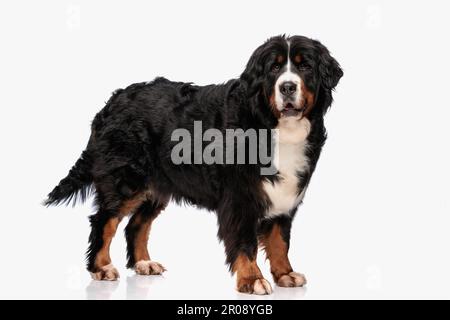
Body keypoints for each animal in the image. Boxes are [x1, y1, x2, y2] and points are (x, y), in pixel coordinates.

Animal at [44, 35, 342, 296]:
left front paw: (285, 274)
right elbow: (245, 244)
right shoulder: (240, 198)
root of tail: (113, 101)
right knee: (104, 221)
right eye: (274, 68)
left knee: (136, 226)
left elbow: (280, 241)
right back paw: (102, 267)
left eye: (305, 66)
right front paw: (252, 280)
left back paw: (144, 263)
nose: (287, 87)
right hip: (127, 181)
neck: (272, 126)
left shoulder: (284, 196)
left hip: (156, 186)